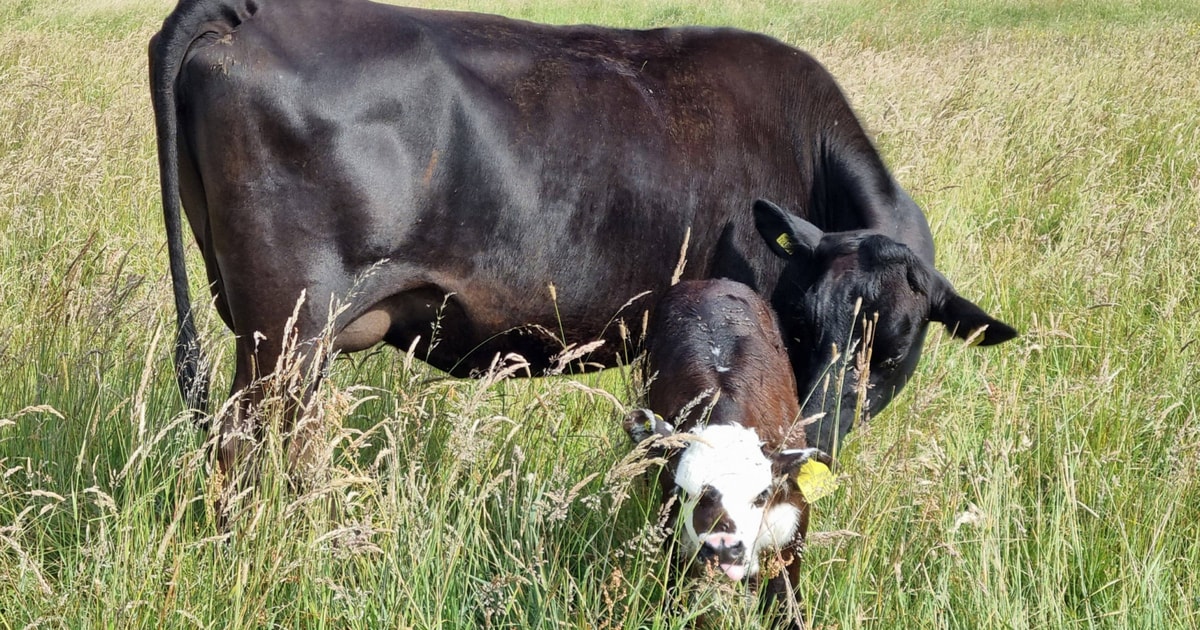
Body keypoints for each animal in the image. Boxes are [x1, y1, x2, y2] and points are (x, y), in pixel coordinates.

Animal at [150, 0, 1017, 476]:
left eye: (894, 347)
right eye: (800, 326)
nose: (817, 442)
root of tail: (244, 11)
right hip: (285, 328)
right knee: (241, 454)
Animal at [623, 279, 833, 627]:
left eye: (762, 495)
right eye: (684, 492)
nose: (722, 547)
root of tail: (707, 283)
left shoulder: (791, 532)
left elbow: (785, 603)